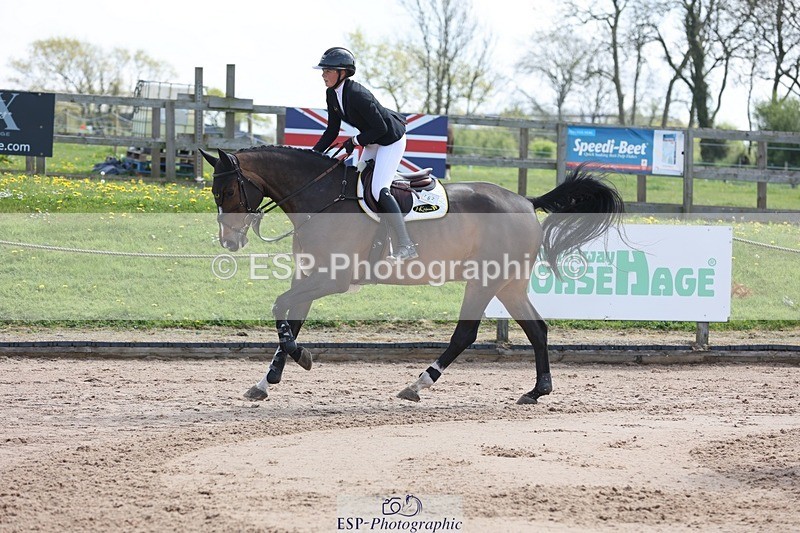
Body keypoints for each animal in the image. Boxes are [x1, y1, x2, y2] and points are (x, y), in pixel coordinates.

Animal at [200, 146, 623, 404]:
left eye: (228, 193)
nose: (229, 242)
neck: (320, 198)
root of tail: (524, 201)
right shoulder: (308, 276)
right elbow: (289, 320)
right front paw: (265, 381)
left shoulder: (332, 277)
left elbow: (280, 308)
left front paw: (301, 357)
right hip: (509, 285)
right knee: (537, 329)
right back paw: (537, 391)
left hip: (485, 280)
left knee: (466, 334)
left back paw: (419, 383)